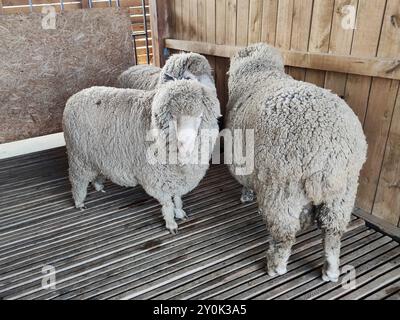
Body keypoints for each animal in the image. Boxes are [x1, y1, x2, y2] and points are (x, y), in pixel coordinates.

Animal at [63, 79, 220, 235]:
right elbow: (167, 203)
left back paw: (98, 186)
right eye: (174, 116)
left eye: (200, 116)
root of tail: (75, 96)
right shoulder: (158, 178)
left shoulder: (175, 177)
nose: (185, 145)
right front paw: (171, 223)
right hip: (78, 157)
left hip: (96, 156)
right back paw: (79, 202)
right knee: (78, 181)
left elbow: (176, 197)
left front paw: (180, 212)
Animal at [225, 43, 366, 282]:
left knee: (285, 234)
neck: (259, 74)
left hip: (282, 188)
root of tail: (330, 151)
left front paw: (246, 195)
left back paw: (276, 267)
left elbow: (244, 182)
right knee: (332, 231)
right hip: (343, 191)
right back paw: (330, 270)